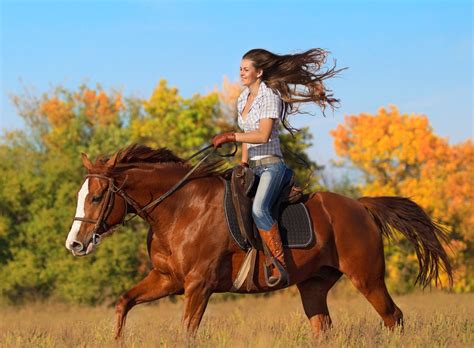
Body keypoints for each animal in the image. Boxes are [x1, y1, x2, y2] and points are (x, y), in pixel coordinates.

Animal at [64, 144, 452, 338]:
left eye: (96, 197)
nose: (75, 245)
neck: (180, 209)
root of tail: (361, 206)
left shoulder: (198, 286)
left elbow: (186, 333)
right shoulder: (167, 280)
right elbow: (123, 304)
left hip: (367, 278)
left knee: (393, 318)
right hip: (314, 286)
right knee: (323, 329)